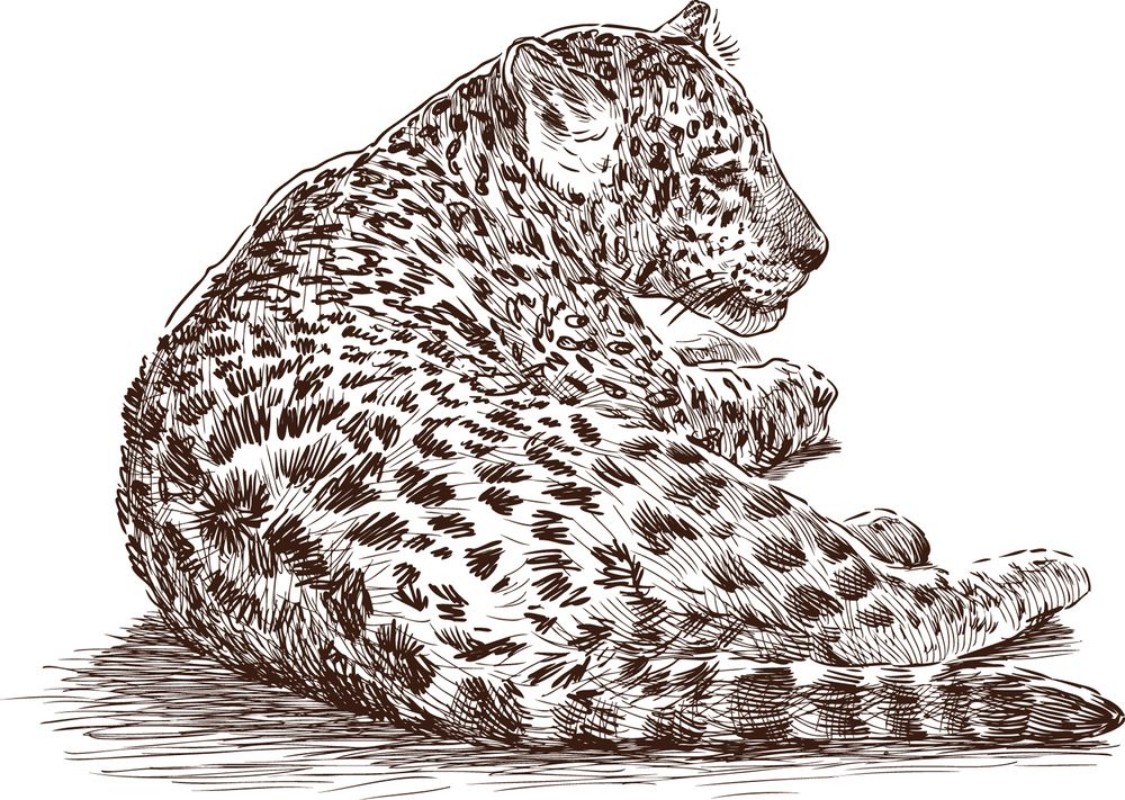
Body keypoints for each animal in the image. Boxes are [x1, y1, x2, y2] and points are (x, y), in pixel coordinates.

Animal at [117, 2, 1121, 746]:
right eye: (717, 171)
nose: (818, 251)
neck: (482, 166)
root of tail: (359, 616)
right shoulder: (640, 386)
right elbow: (743, 395)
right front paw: (795, 376)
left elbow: (713, 354)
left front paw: (744, 350)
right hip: (650, 464)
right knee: (868, 616)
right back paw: (1033, 563)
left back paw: (887, 527)